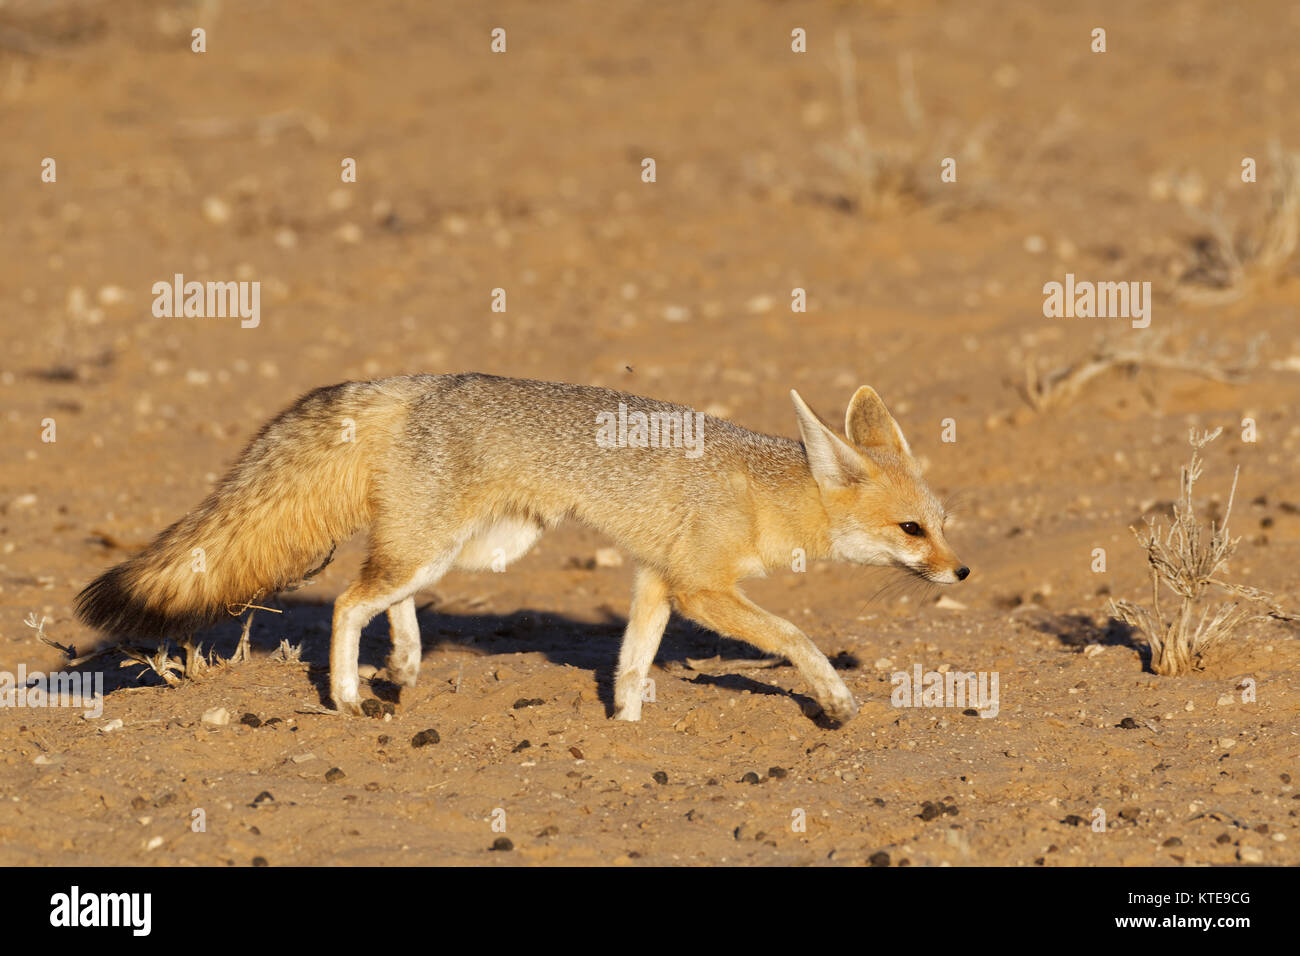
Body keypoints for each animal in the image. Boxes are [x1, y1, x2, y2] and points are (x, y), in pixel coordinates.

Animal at [73, 374, 967, 723]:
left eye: (943, 521)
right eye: (911, 531)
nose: (962, 569)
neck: (764, 490)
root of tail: (417, 384)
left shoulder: (657, 580)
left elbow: (632, 659)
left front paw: (625, 724)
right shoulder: (701, 588)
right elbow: (794, 636)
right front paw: (836, 699)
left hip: (473, 551)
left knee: (387, 595)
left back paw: (403, 664)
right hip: (444, 548)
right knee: (350, 600)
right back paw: (351, 695)